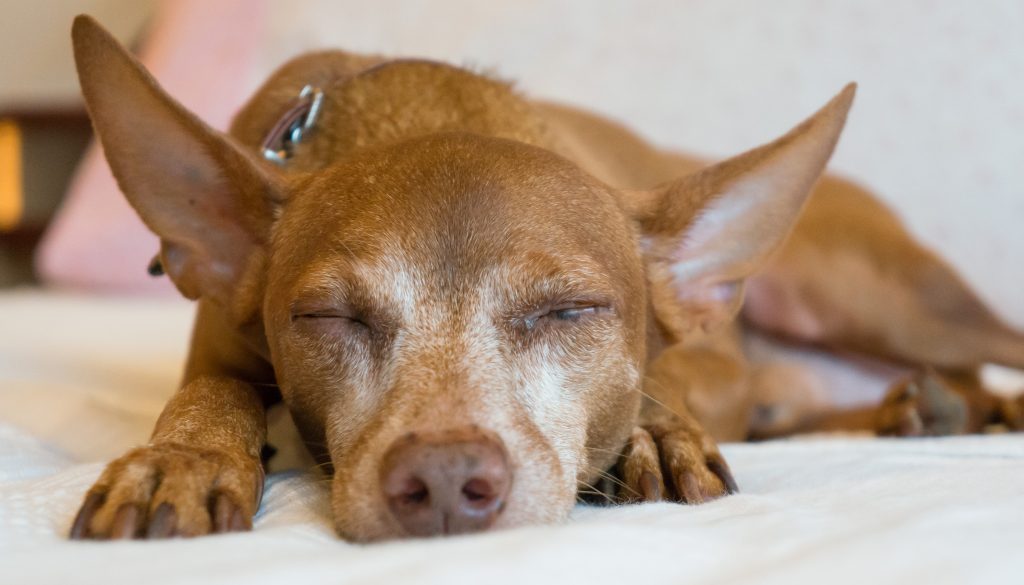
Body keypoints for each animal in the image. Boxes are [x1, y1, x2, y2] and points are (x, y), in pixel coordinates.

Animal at [68, 14, 1019, 545]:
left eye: (572, 310)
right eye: (324, 318)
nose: (443, 478)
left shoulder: (704, 363)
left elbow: (661, 383)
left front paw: (651, 433)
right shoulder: (218, 352)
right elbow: (211, 392)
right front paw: (183, 456)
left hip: (873, 295)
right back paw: (929, 409)